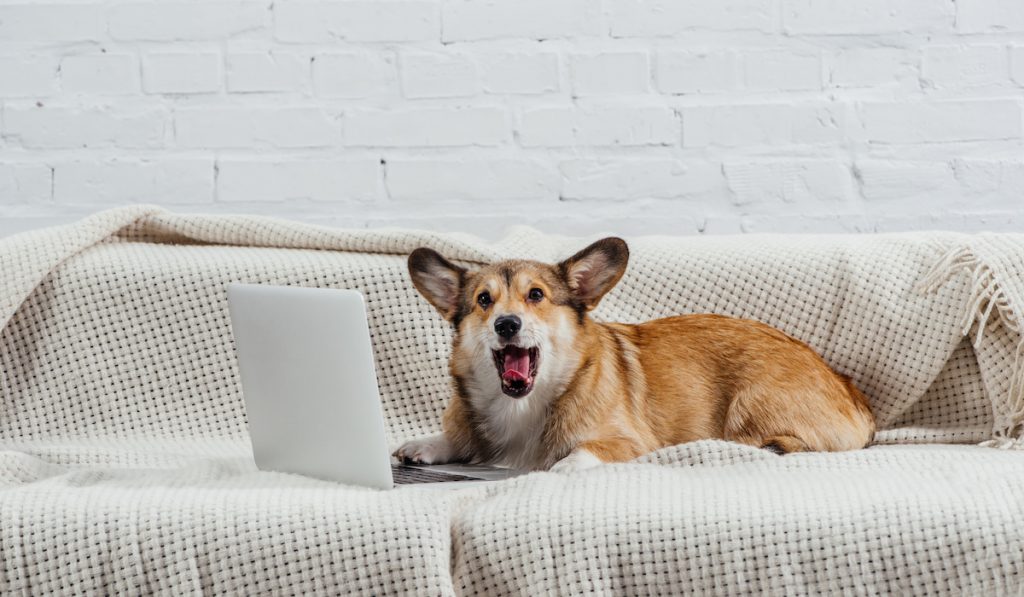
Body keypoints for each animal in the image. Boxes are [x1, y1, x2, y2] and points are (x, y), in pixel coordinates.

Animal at [391, 238, 872, 471]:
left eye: (536, 295)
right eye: (484, 301)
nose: (506, 324)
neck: (524, 405)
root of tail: (849, 389)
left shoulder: (627, 442)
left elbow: (579, 454)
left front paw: (561, 467)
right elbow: (456, 440)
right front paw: (425, 445)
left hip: (750, 403)